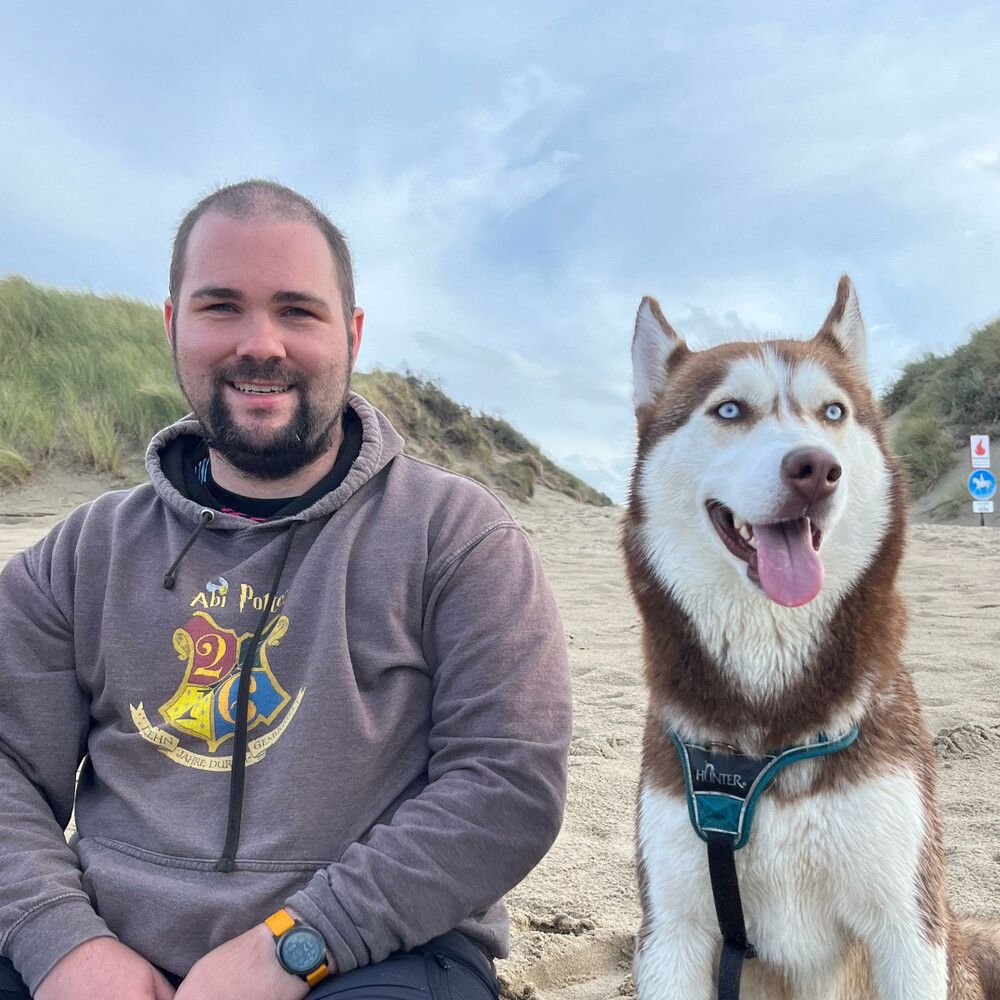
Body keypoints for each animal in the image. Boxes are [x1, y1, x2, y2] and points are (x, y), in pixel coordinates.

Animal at [624, 278, 1000, 1000]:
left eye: (833, 411)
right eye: (730, 409)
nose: (816, 469)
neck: (771, 725)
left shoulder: (907, 926)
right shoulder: (674, 930)